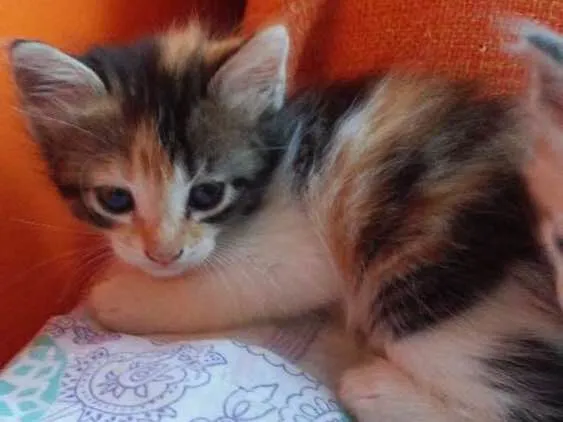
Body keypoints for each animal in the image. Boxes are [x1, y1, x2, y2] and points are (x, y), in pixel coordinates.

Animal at [9, 18, 563, 422]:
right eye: (115, 199)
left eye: (207, 193)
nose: (163, 253)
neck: (281, 157)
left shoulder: (303, 250)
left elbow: (229, 283)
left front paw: (123, 295)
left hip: (428, 279)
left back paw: (373, 390)